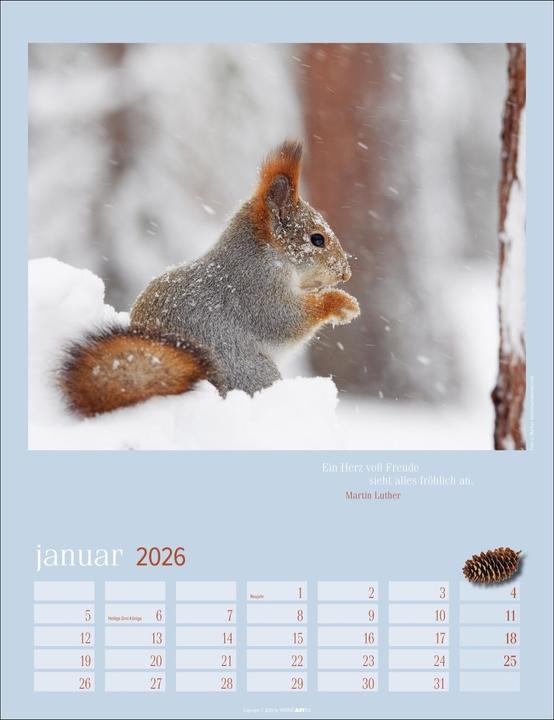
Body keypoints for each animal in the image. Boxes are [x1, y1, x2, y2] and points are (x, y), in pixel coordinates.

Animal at [59, 140, 361, 416]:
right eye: (317, 239)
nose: (345, 273)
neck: (265, 255)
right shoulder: (254, 291)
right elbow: (285, 322)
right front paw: (341, 303)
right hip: (248, 371)